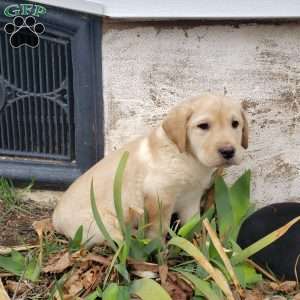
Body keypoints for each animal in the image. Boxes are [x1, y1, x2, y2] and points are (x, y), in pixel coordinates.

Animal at [52, 94, 248, 246]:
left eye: (235, 124)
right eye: (203, 126)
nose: (228, 151)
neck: (187, 157)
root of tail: (55, 218)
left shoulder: (191, 200)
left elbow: (194, 223)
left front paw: (201, 244)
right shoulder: (159, 195)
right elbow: (158, 229)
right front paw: (157, 249)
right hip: (101, 225)